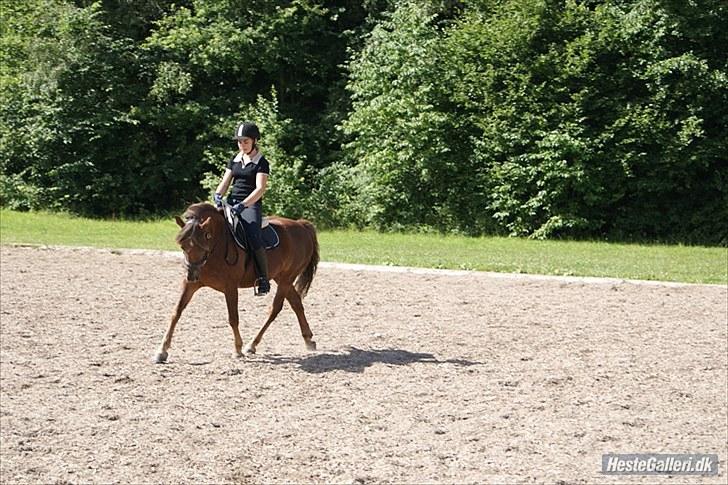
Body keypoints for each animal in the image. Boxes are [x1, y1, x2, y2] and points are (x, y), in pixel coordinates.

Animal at [155, 201, 320, 364]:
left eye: (205, 240)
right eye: (182, 245)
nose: (192, 274)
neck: (216, 246)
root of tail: (301, 225)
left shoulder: (230, 287)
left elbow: (233, 318)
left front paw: (237, 350)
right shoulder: (190, 284)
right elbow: (176, 312)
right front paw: (162, 351)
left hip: (286, 278)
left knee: (275, 309)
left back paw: (251, 344)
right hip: (281, 277)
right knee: (296, 303)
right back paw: (308, 340)